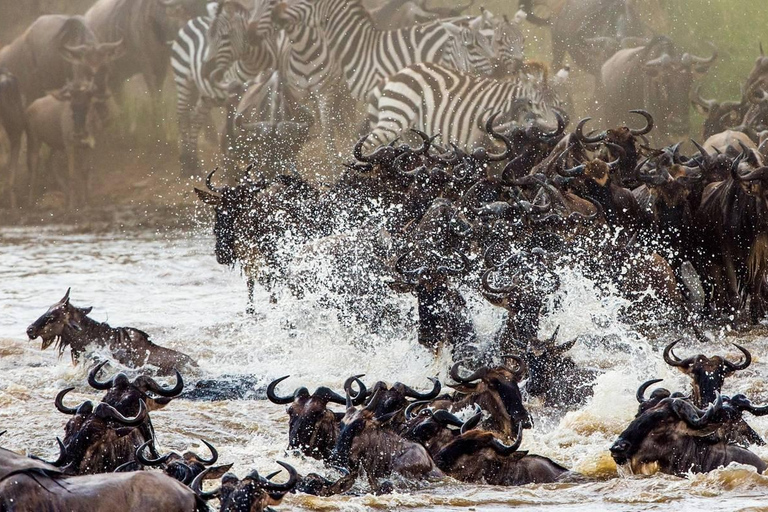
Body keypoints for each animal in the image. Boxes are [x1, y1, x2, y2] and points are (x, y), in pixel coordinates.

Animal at [170, 1, 276, 174]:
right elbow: (233, 123)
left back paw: (195, 164)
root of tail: (191, 20)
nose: (205, 71)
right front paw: (235, 154)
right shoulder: (234, 94)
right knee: (183, 116)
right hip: (183, 79)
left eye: (224, 37)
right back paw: (186, 165)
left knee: (196, 118)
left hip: (207, 95)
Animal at [360, 61, 564, 150]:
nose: (552, 130)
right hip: (395, 118)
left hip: (410, 137)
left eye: (559, 105)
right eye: (533, 104)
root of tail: (392, 76)